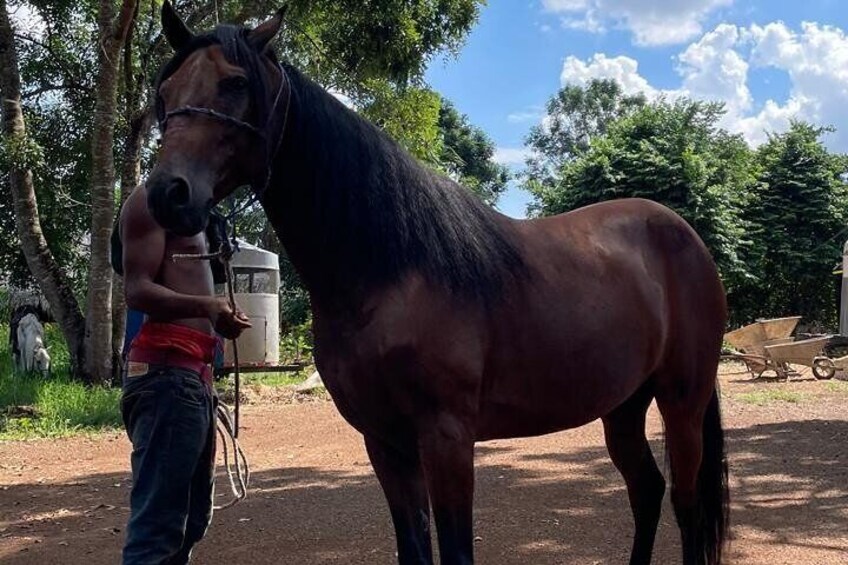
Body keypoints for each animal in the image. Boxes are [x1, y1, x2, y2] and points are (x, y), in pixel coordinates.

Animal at [147, 3, 728, 560]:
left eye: (235, 83)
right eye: (166, 92)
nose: (167, 194)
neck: (390, 274)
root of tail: (684, 237)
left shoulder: (447, 439)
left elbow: (455, 547)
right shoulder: (385, 443)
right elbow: (414, 545)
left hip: (682, 401)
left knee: (686, 504)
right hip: (623, 405)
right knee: (647, 491)